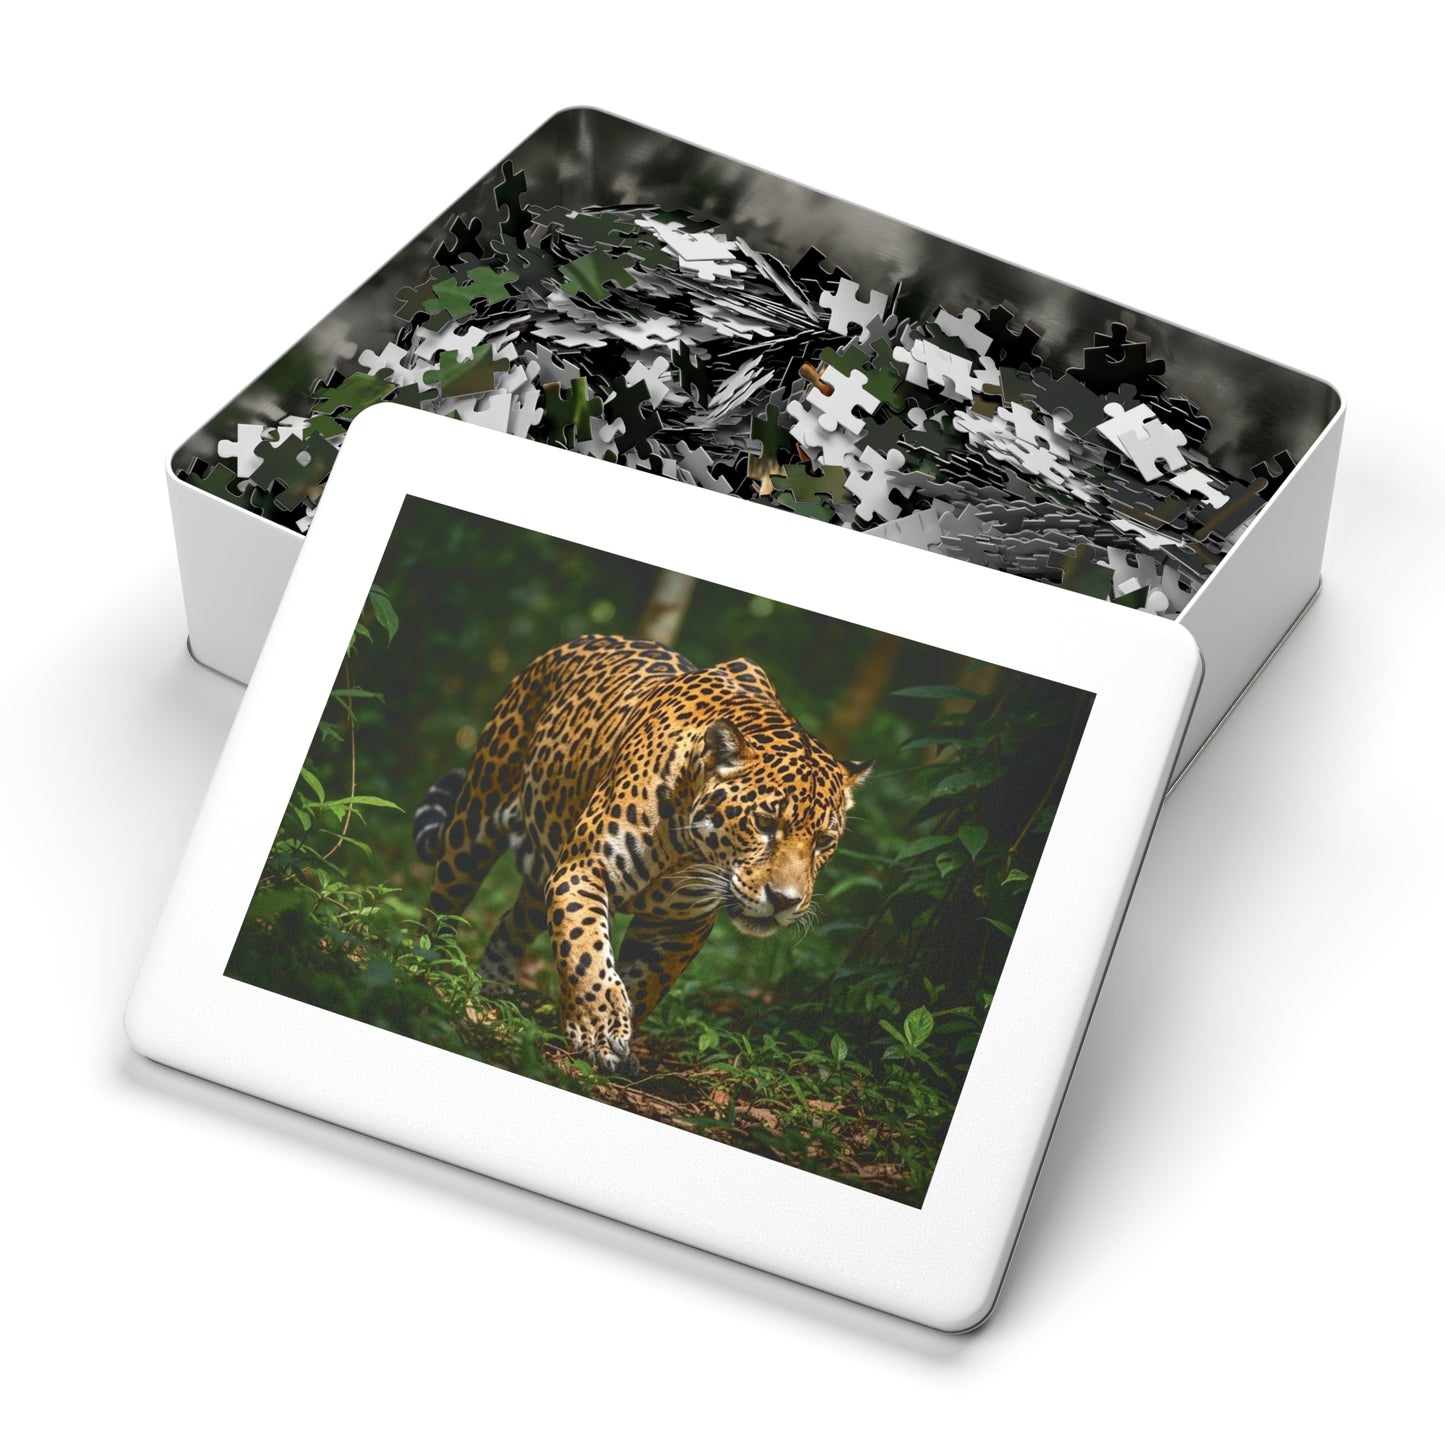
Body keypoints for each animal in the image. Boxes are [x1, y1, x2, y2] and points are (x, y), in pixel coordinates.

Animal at [413, 633, 871, 1075]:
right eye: (764, 822)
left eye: (824, 841)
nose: (784, 901)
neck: (688, 850)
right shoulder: (583, 869)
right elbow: (585, 951)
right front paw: (598, 1030)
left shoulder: (681, 924)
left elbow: (644, 983)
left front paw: (613, 1040)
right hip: (473, 825)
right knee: (443, 906)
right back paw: (427, 969)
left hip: (542, 865)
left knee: (513, 921)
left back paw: (493, 987)